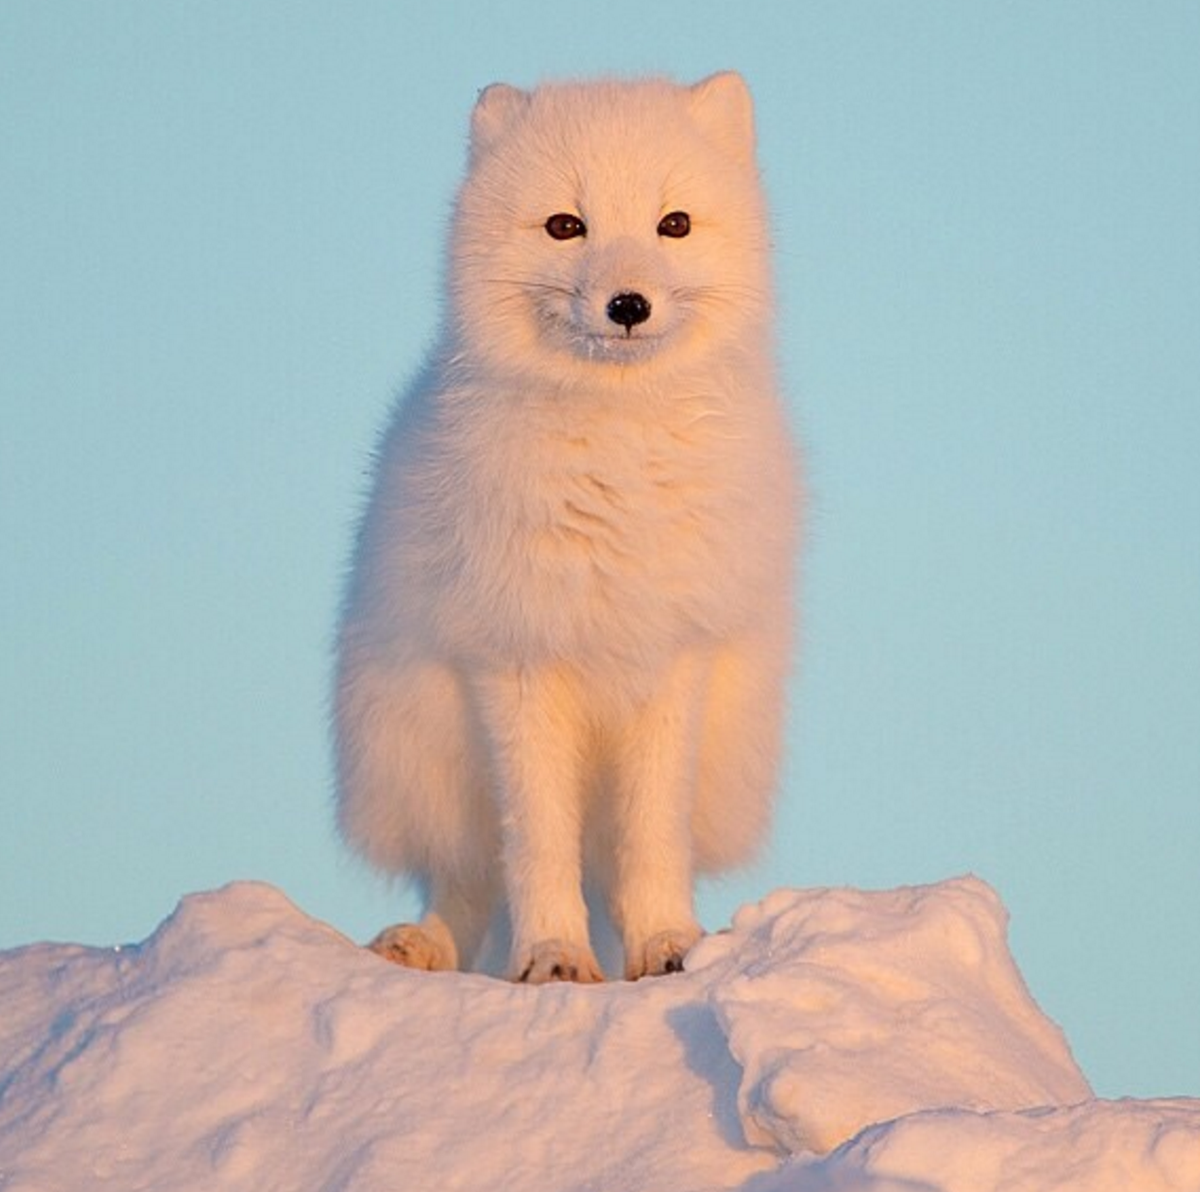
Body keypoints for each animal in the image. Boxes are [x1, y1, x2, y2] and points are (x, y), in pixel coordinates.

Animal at [333, 71, 799, 983]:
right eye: (564, 225)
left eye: (673, 223)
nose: (628, 304)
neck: (616, 463)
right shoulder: (515, 658)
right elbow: (539, 841)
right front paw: (551, 957)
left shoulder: (674, 656)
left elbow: (651, 837)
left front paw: (666, 945)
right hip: (427, 756)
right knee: (468, 877)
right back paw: (423, 944)